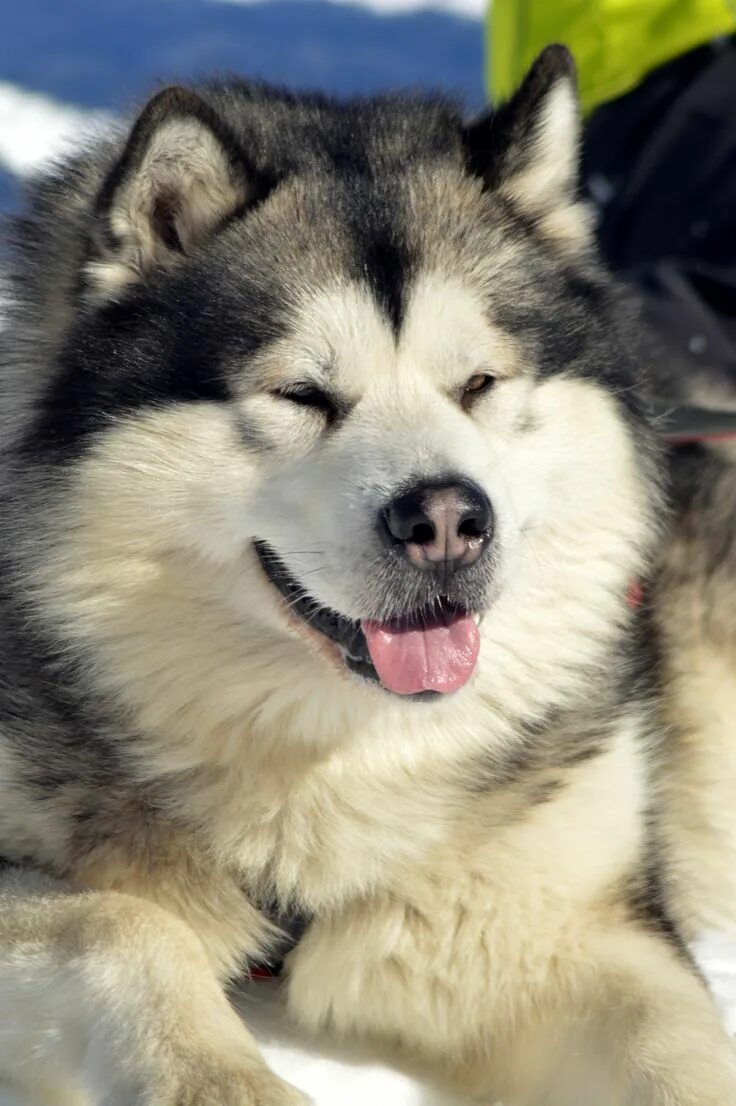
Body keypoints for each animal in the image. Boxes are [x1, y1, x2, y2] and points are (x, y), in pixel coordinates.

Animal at [1, 43, 734, 1106]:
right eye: (303, 394)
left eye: (480, 384)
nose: (448, 522)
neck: (333, 755)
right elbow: (121, 921)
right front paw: (227, 1081)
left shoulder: (578, 924)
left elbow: (681, 1056)